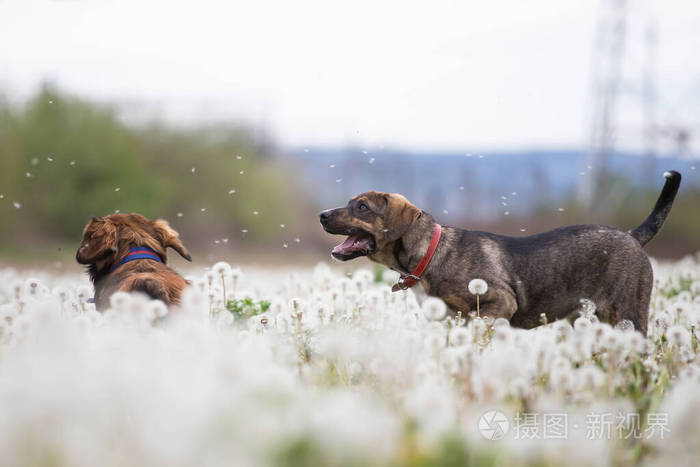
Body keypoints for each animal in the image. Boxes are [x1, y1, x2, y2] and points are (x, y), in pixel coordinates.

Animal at [320, 171, 680, 332]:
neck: (431, 254)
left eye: (362, 207)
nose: (322, 215)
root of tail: (633, 236)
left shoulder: (500, 304)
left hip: (628, 315)